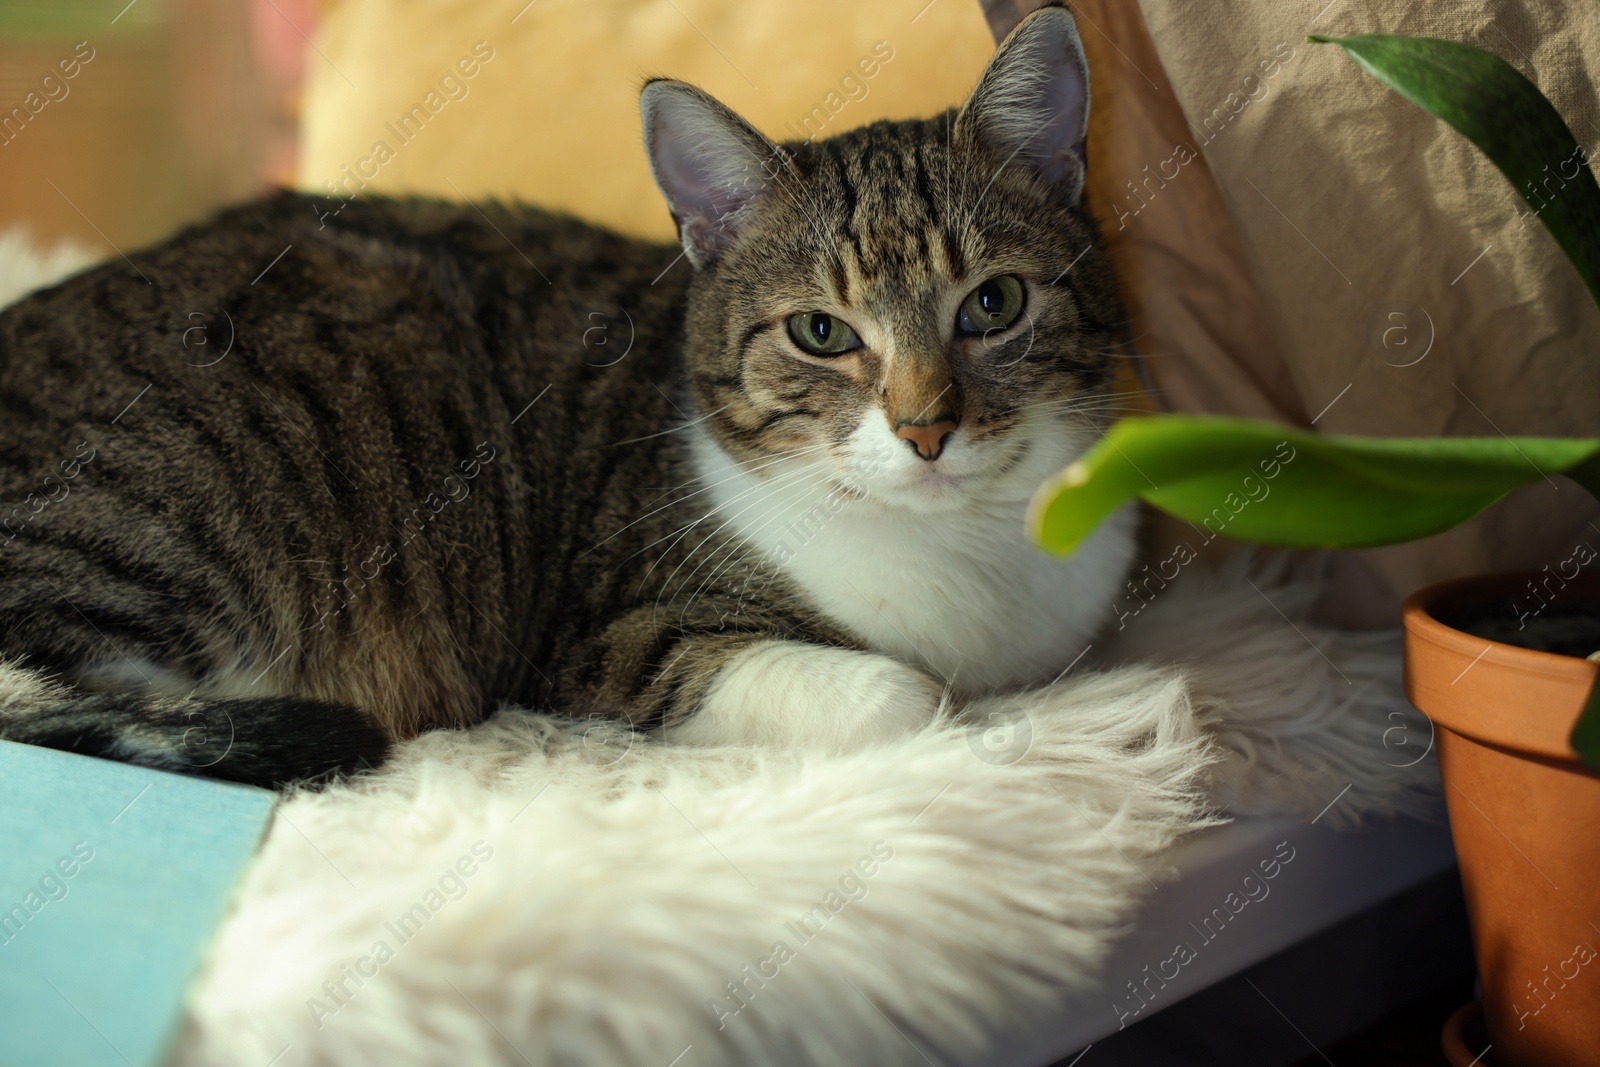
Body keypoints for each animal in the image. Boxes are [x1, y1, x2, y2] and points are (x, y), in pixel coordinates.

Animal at [0, 4, 1139, 790]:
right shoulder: (613, 636)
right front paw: (939, 702)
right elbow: (905, 696)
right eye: (821, 332)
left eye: (993, 303)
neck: (966, 560)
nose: (926, 427)